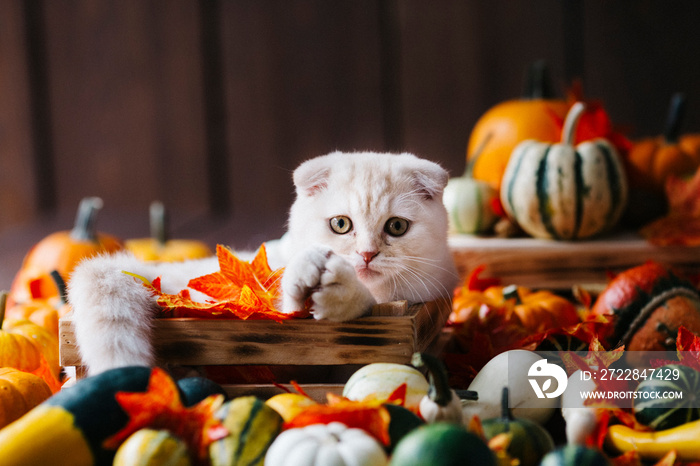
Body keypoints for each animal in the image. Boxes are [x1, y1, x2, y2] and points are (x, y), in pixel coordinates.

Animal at [67, 151, 460, 376]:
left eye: (397, 227)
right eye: (340, 224)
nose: (366, 254)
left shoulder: (421, 292)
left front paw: (339, 293)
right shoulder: (272, 300)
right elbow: (287, 301)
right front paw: (308, 275)